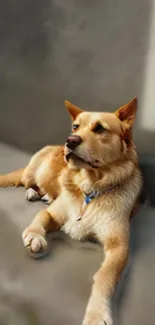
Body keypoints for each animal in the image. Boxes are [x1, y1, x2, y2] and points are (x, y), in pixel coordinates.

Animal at [0, 98, 142, 324]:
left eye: (100, 128)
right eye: (75, 126)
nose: (70, 140)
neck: (91, 187)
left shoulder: (119, 247)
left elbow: (105, 277)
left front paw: (97, 313)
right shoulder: (52, 213)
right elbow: (40, 217)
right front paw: (34, 235)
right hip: (31, 172)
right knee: (28, 182)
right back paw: (34, 192)